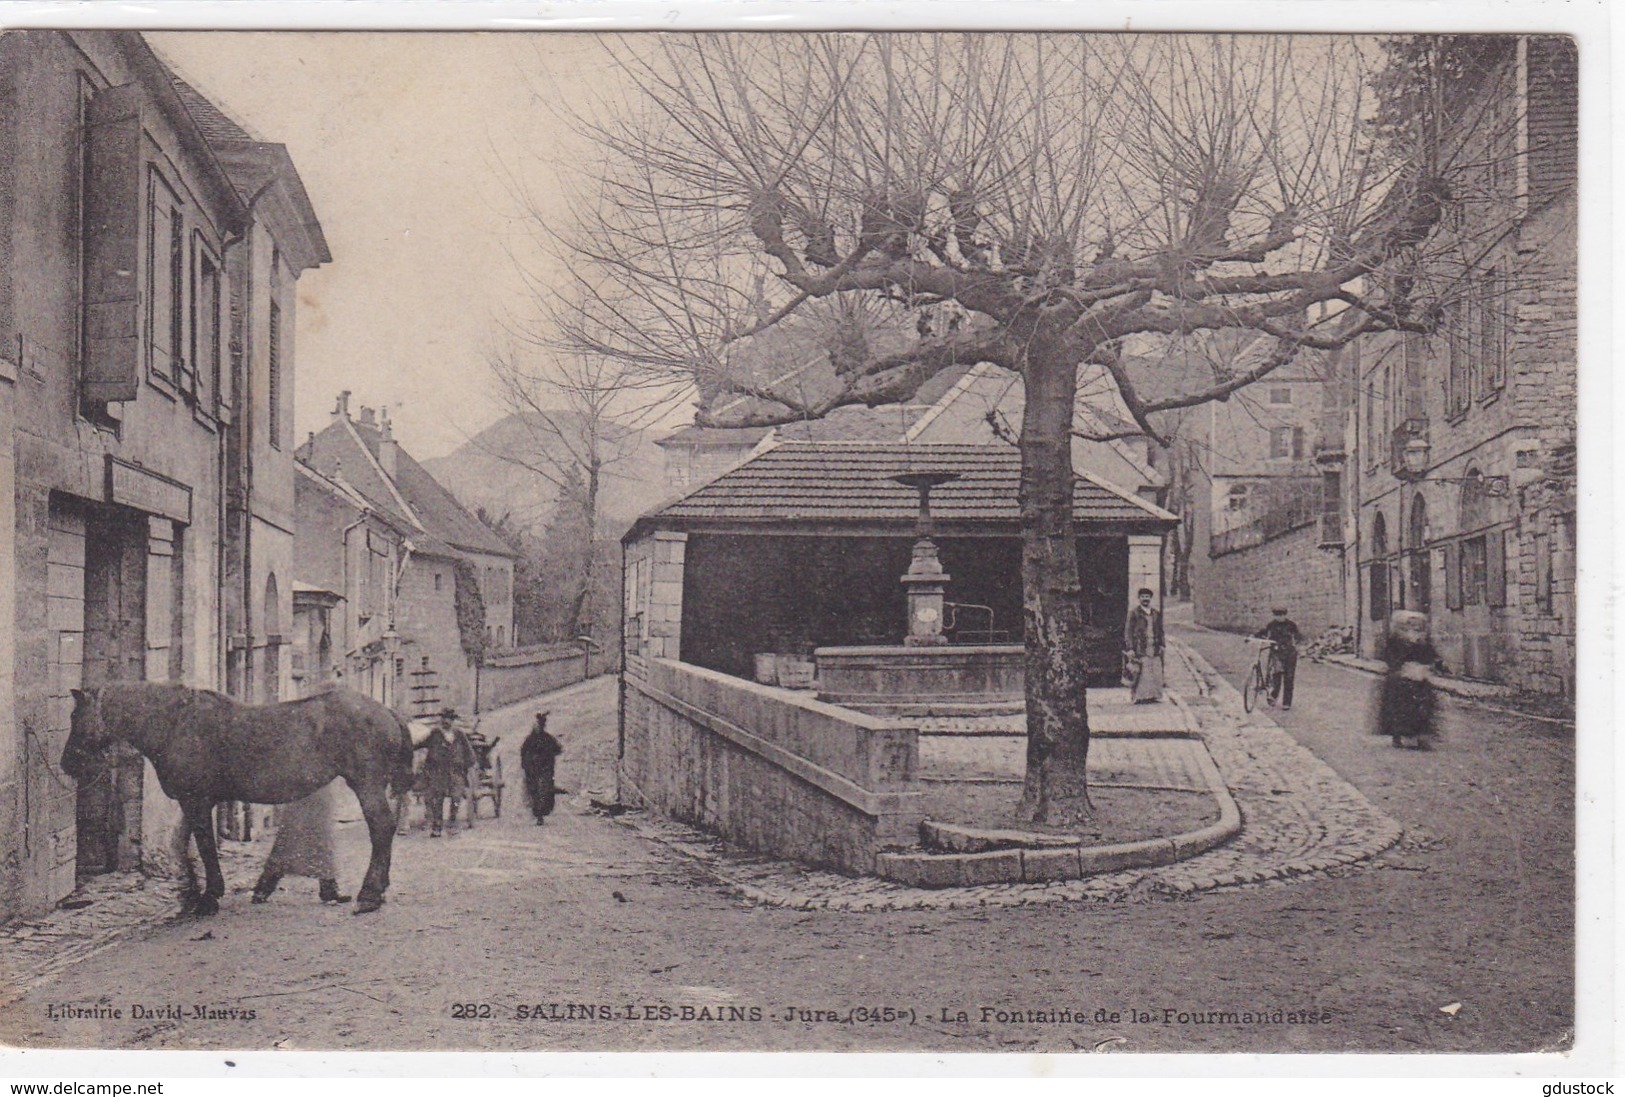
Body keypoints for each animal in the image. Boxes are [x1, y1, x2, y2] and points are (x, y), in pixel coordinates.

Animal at [61, 682, 419, 916]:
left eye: (75, 718)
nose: (67, 764)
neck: (174, 725)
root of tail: (388, 712)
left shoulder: (197, 801)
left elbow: (205, 846)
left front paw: (208, 897)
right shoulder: (191, 803)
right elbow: (184, 846)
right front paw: (190, 895)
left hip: (367, 784)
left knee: (381, 829)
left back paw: (369, 894)